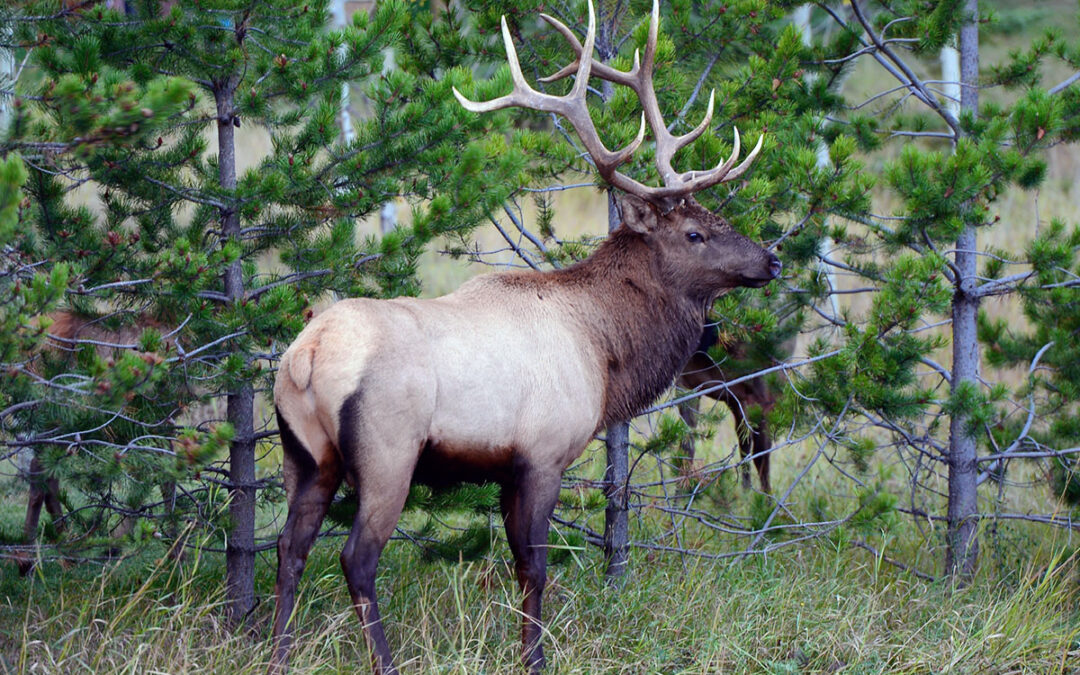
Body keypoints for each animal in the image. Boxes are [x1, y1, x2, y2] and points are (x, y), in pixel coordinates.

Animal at [268, 1, 781, 672]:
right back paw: (384, 659)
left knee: (288, 548)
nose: (771, 259)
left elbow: (518, 567)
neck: (604, 351)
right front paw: (533, 658)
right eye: (694, 233)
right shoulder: (543, 453)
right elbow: (535, 569)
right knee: (356, 557)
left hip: (305, 454)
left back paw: (275, 653)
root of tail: (307, 355)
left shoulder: (508, 467)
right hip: (388, 450)